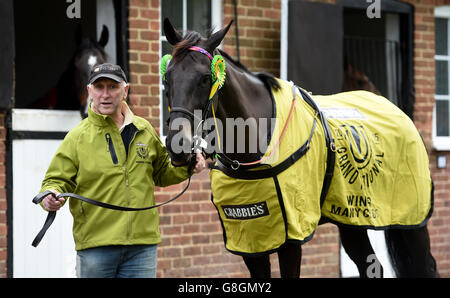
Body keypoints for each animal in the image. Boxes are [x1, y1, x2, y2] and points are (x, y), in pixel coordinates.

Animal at [163, 18, 440, 278]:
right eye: (167, 77)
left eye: (205, 78)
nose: (178, 145)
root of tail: (398, 111)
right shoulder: (249, 239)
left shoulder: (291, 238)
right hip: (352, 218)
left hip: (411, 220)